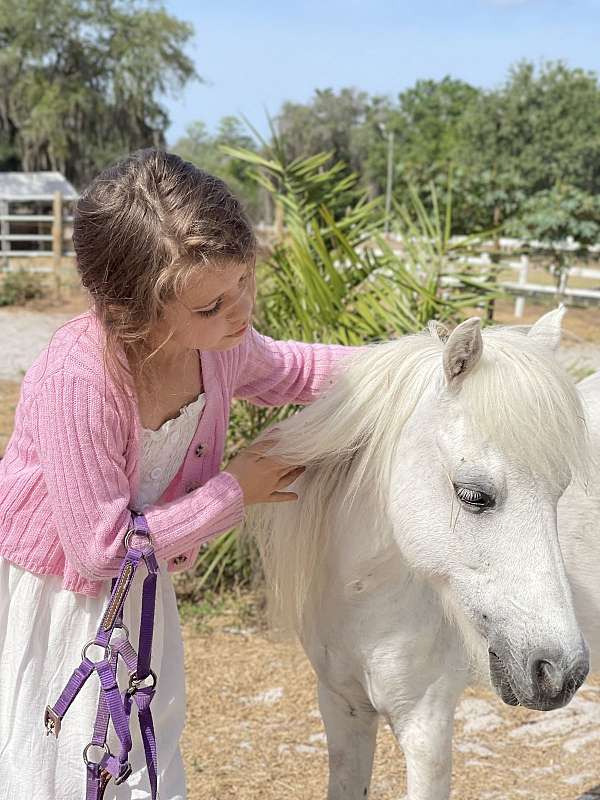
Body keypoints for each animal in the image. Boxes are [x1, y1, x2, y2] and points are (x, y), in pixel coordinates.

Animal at [247, 310, 592, 800]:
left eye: (560, 491)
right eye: (473, 495)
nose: (560, 671)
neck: (369, 605)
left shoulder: (426, 728)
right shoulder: (342, 707)